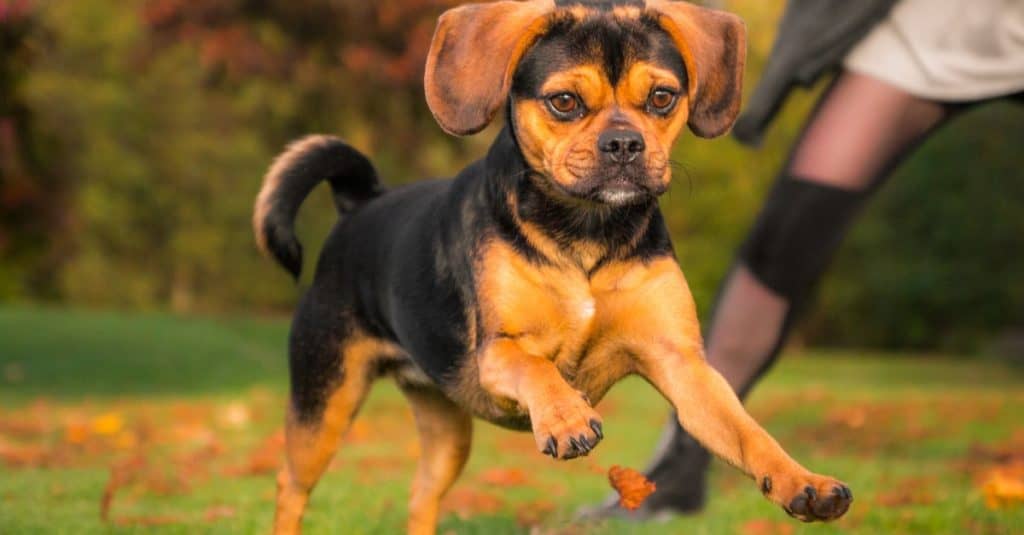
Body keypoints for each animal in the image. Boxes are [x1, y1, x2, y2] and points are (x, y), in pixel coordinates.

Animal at [256, 0, 856, 528]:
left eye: (662, 98)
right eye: (564, 101)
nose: (624, 144)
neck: (585, 235)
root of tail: (361, 204)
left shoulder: (683, 365)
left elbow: (749, 432)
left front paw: (803, 482)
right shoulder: (498, 353)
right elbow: (537, 368)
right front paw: (566, 417)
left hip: (445, 428)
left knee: (421, 494)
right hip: (323, 404)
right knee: (290, 487)